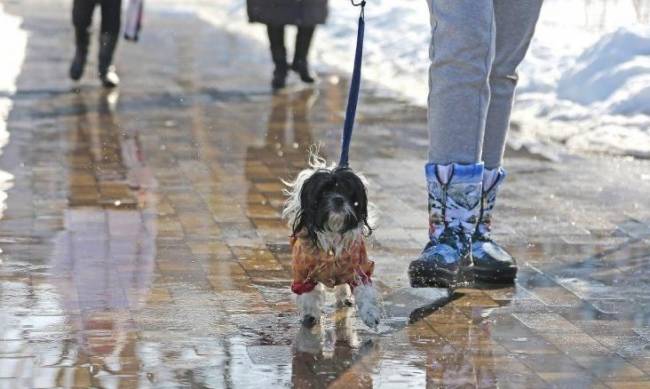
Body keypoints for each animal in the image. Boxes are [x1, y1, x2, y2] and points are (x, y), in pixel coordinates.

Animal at [282, 154, 380, 328]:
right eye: (323, 192)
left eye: (348, 191)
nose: (338, 199)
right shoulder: (303, 275)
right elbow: (309, 295)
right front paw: (310, 315)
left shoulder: (359, 269)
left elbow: (365, 293)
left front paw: (370, 314)